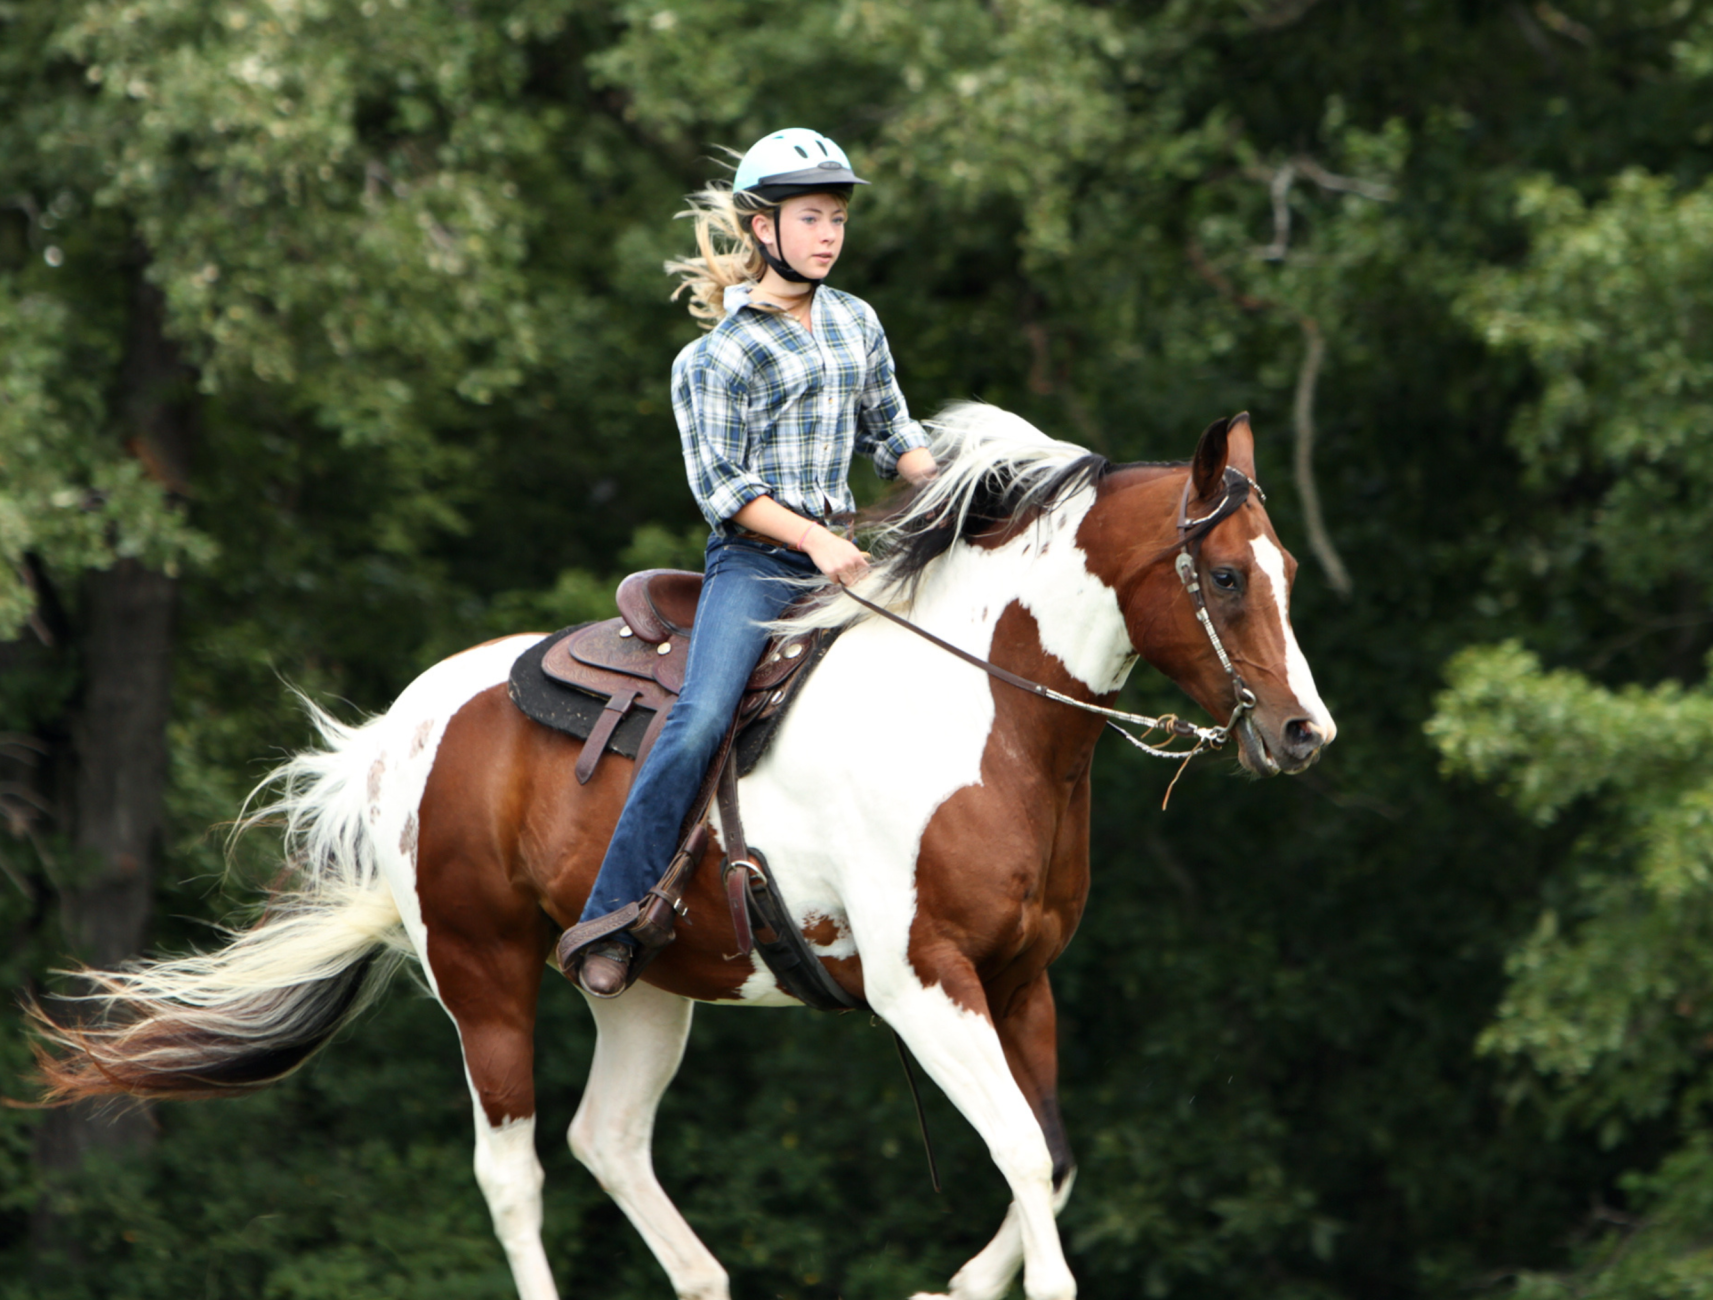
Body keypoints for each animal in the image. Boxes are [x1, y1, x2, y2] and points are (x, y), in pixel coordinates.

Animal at [30, 403, 1334, 1300]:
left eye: (1286, 571)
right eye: (1226, 575)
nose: (1302, 732)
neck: (981, 715)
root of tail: (405, 728)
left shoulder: (1023, 978)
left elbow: (1050, 1157)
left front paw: (952, 1285)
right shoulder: (925, 983)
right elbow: (1019, 1145)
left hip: (642, 984)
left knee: (607, 1138)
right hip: (481, 974)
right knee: (514, 1172)